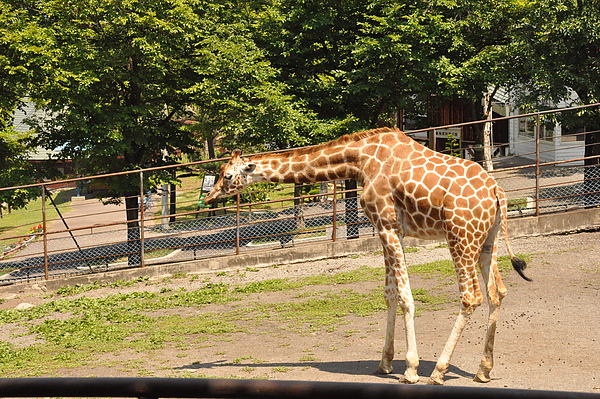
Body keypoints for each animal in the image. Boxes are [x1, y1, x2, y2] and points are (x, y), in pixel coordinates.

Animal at [205, 127, 528, 384]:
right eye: (219, 174)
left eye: (228, 175)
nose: (209, 197)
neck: (361, 161)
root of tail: (499, 192)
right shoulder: (388, 231)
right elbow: (390, 294)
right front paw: (385, 363)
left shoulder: (388, 225)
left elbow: (406, 297)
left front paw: (410, 369)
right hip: (487, 240)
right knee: (497, 292)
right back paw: (483, 370)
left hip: (460, 236)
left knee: (471, 297)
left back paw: (438, 371)